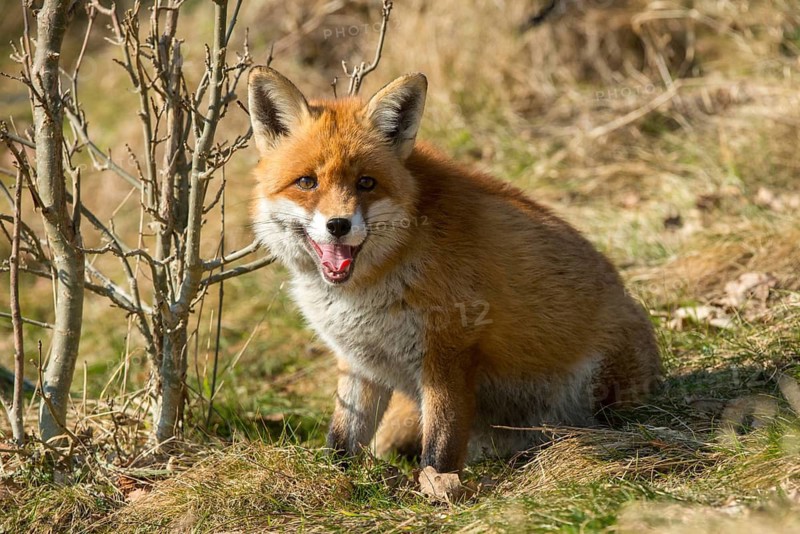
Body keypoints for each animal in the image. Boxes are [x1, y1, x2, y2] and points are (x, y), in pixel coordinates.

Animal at [247, 66, 661, 476]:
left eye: (366, 183)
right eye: (307, 182)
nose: (338, 225)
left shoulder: (449, 351)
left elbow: (440, 449)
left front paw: (436, 487)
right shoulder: (359, 362)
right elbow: (341, 441)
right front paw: (338, 483)